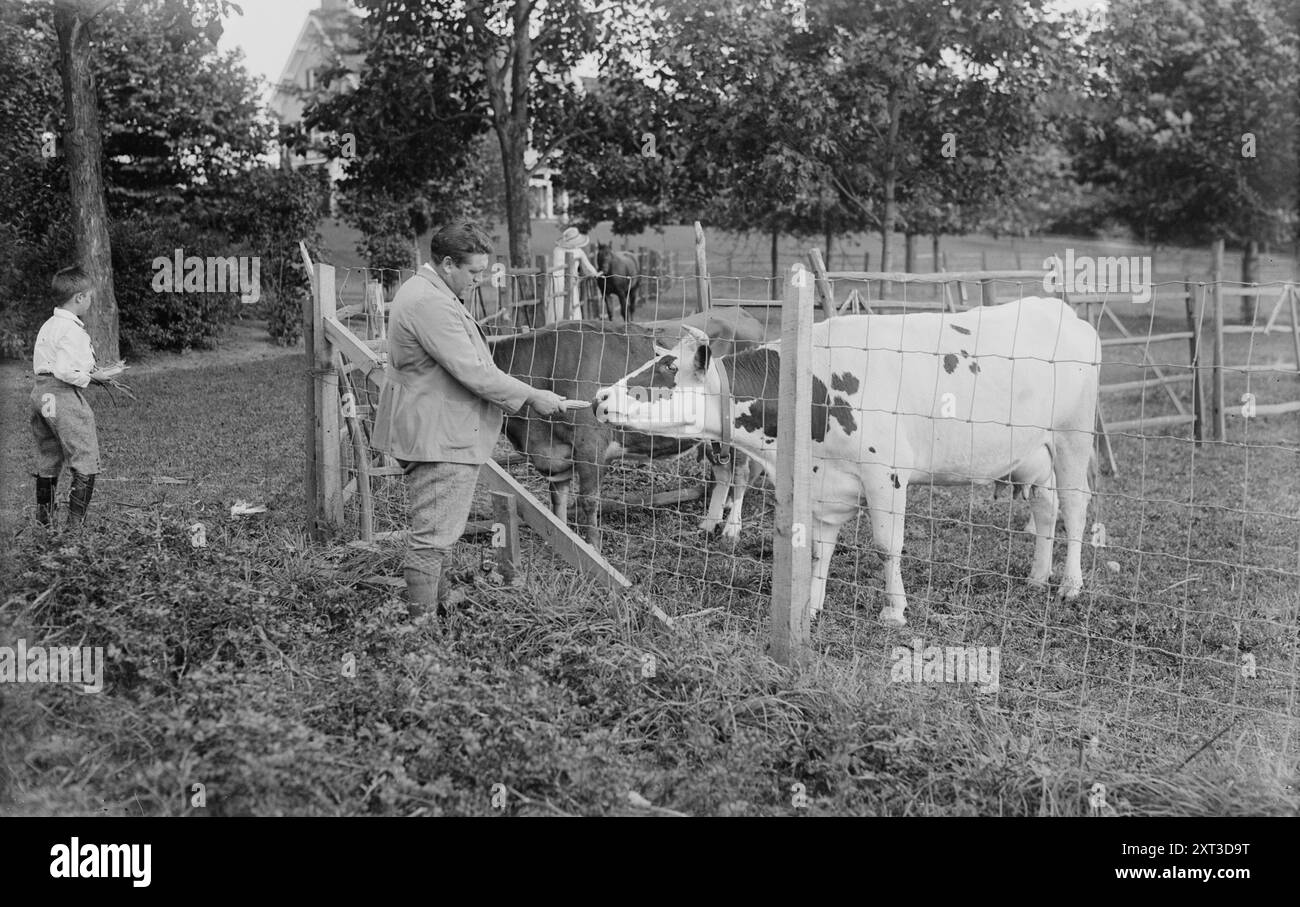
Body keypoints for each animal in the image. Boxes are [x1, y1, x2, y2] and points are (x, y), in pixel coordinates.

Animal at [595, 296, 1102, 621]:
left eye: (663, 371)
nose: (599, 397)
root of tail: (1059, 309)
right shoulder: (823, 482)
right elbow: (820, 549)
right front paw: (811, 606)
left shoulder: (885, 475)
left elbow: (886, 545)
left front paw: (894, 610)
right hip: (1033, 453)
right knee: (1046, 507)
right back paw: (1037, 576)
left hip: (1073, 437)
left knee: (1076, 507)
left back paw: (1071, 585)